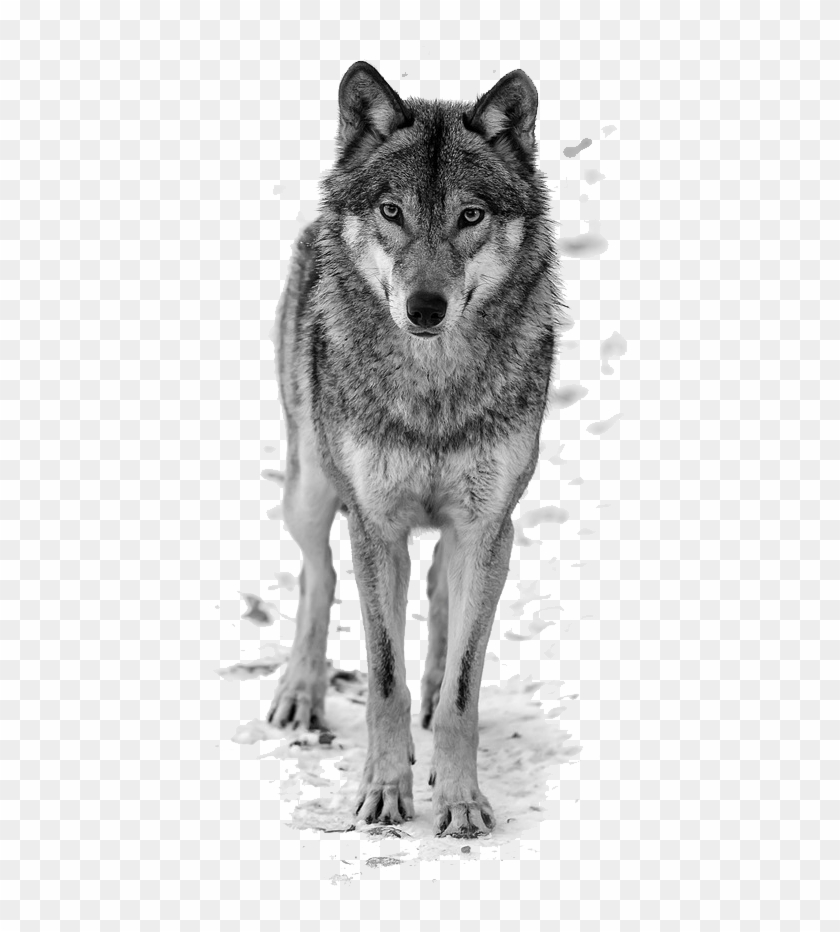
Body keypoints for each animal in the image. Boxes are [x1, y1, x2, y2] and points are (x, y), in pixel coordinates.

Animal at [267, 61, 566, 838]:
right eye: (392, 211)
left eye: (471, 216)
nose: (424, 308)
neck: (433, 392)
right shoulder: (376, 527)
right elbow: (382, 677)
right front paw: (383, 791)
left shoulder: (489, 527)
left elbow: (465, 687)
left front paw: (459, 800)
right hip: (310, 490)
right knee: (318, 577)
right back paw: (300, 693)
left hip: (468, 535)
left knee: (438, 593)